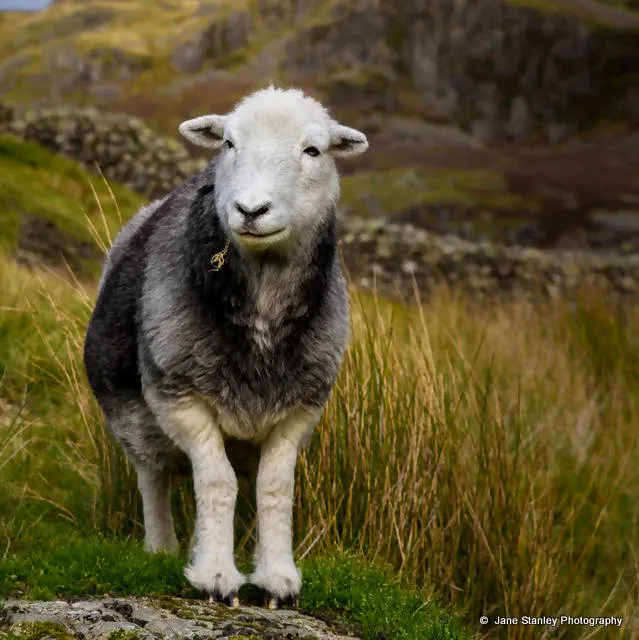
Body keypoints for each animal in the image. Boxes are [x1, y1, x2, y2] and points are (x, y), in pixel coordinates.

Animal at [82, 86, 368, 608]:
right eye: (229, 144)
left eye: (313, 150)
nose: (251, 210)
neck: (263, 315)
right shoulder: (179, 395)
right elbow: (216, 481)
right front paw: (215, 576)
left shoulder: (300, 409)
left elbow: (274, 488)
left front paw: (277, 579)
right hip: (135, 420)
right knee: (152, 476)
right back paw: (161, 548)